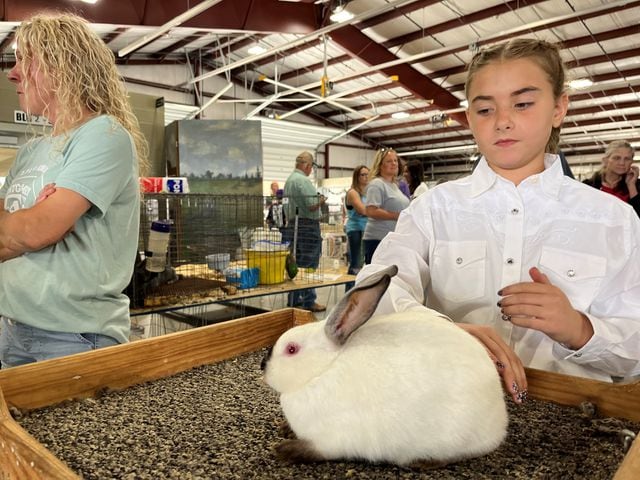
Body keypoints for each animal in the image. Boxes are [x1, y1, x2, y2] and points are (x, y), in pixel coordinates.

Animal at [262, 264, 508, 466]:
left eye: (291, 349)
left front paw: (285, 450)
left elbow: (317, 450)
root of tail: (501, 418)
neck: (323, 370)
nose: (263, 365)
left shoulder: (333, 439)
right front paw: (285, 429)